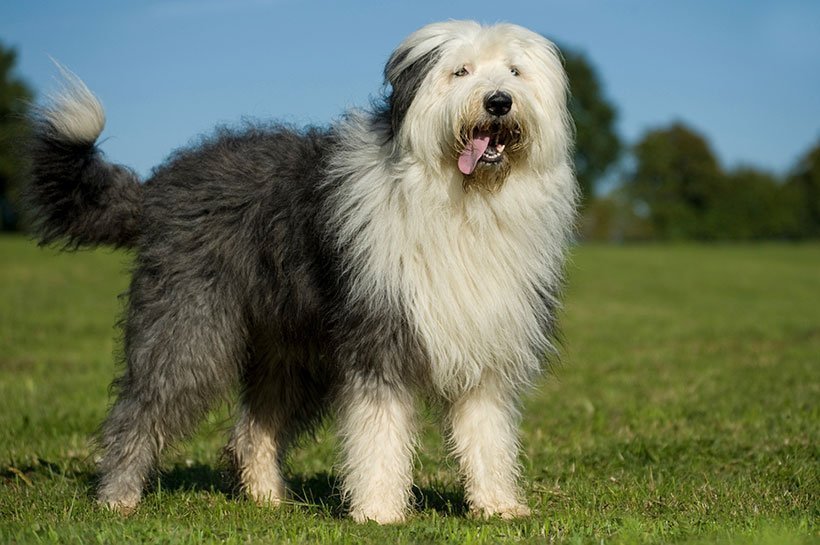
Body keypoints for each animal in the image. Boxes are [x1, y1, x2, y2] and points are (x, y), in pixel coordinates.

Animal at [25, 20, 576, 524]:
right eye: (459, 71)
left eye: (514, 71)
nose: (498, 102)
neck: (461, 200)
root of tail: (156, 187)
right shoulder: (379, 334)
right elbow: (379, 429)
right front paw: (380, 512)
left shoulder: (484, 342)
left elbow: (487, 432)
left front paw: (498, 507)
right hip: (189, 322)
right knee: (142, 407)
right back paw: (117, 497)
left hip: (289, 346)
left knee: (254, 427)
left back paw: (268, 499)